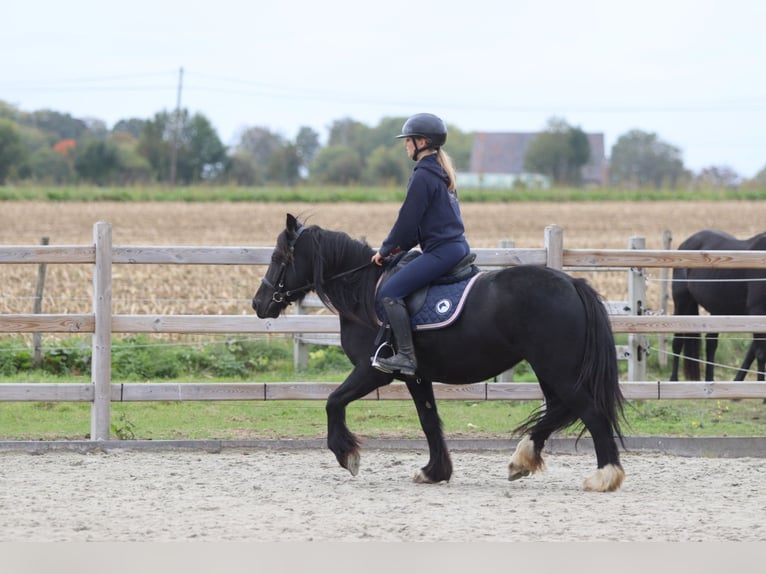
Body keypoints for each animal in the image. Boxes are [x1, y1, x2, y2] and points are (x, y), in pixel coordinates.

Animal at [252, 214, 626, 492]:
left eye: (277, 258)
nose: (258, 304)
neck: (364, 291)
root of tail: (572, 283)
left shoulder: (374, 371)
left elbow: (333, 401)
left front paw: (348, 456)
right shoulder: (415, 377)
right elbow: (429, 421)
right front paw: (435, 471)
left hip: (558, 369)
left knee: (590, 412)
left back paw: (604, 475)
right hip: (549, 370)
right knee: (560, 410)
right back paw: (522, 459)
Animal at [670, 229, 766, 382]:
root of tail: (687, 242)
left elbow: (751, 353)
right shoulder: (757, 312)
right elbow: (760, 354)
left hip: (716, 310)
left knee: (711, 343)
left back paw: (710, 381)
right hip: (682, 303)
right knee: (678, 341)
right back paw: (674, 380)